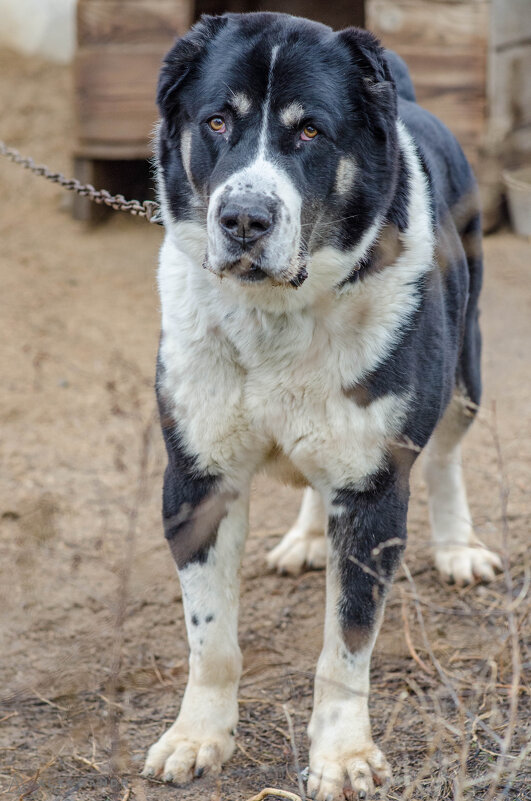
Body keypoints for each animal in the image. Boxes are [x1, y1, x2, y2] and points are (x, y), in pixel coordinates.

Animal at [142, 14, 502, 800]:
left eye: (309, 132)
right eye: (217, 120)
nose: (243, 219)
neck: (276, 316)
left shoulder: (371, 493)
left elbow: (346, 645)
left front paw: (342, 754)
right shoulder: (196, 479)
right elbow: (209, 636)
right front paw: (197, 736)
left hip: (467, 362)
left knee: (447, 453)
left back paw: (457, 546)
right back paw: (307, 536)